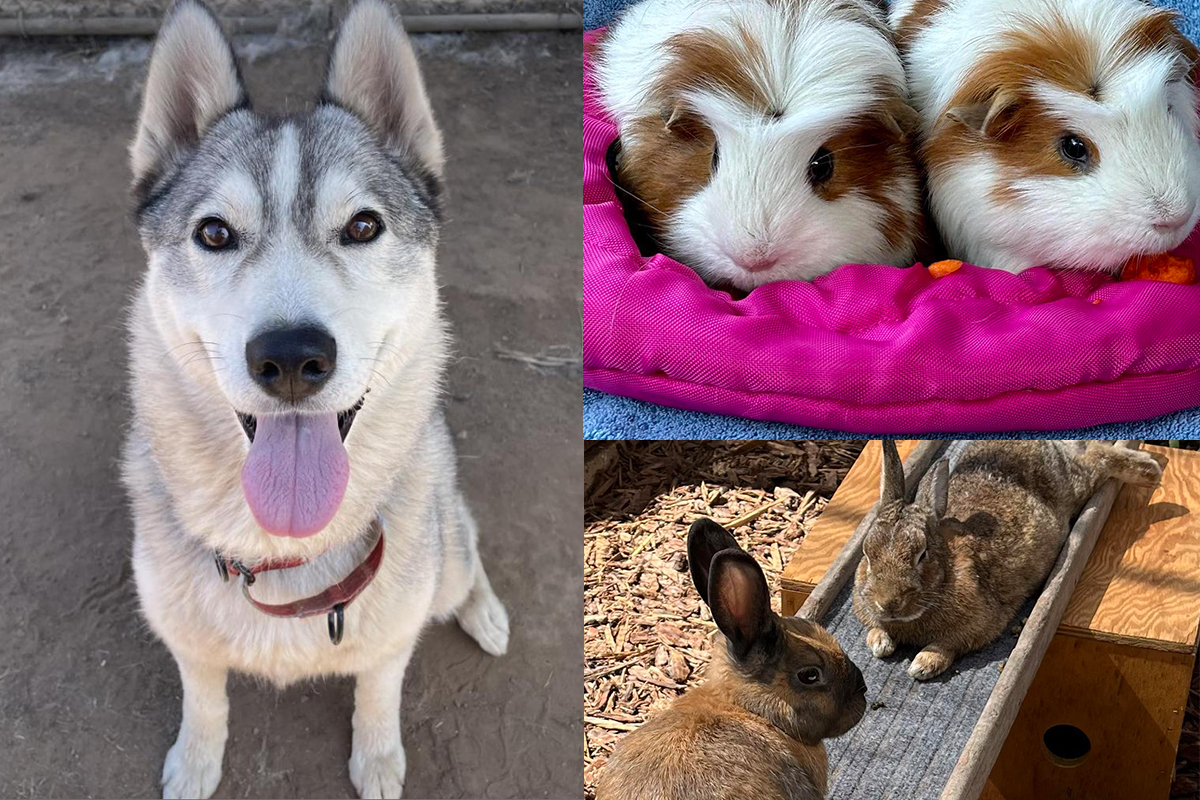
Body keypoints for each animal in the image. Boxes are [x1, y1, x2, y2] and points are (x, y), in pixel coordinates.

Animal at [854, 440, 1163, 681]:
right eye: (867, 554)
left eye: (922, 554)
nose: (888, 603)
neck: (945, 574)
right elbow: (874, 628)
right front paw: (880, 643)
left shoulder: (979, 625)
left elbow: (949, 644)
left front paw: (923, 665)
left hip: (1076, 483)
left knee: (1096, 457)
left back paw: (1151, 471)